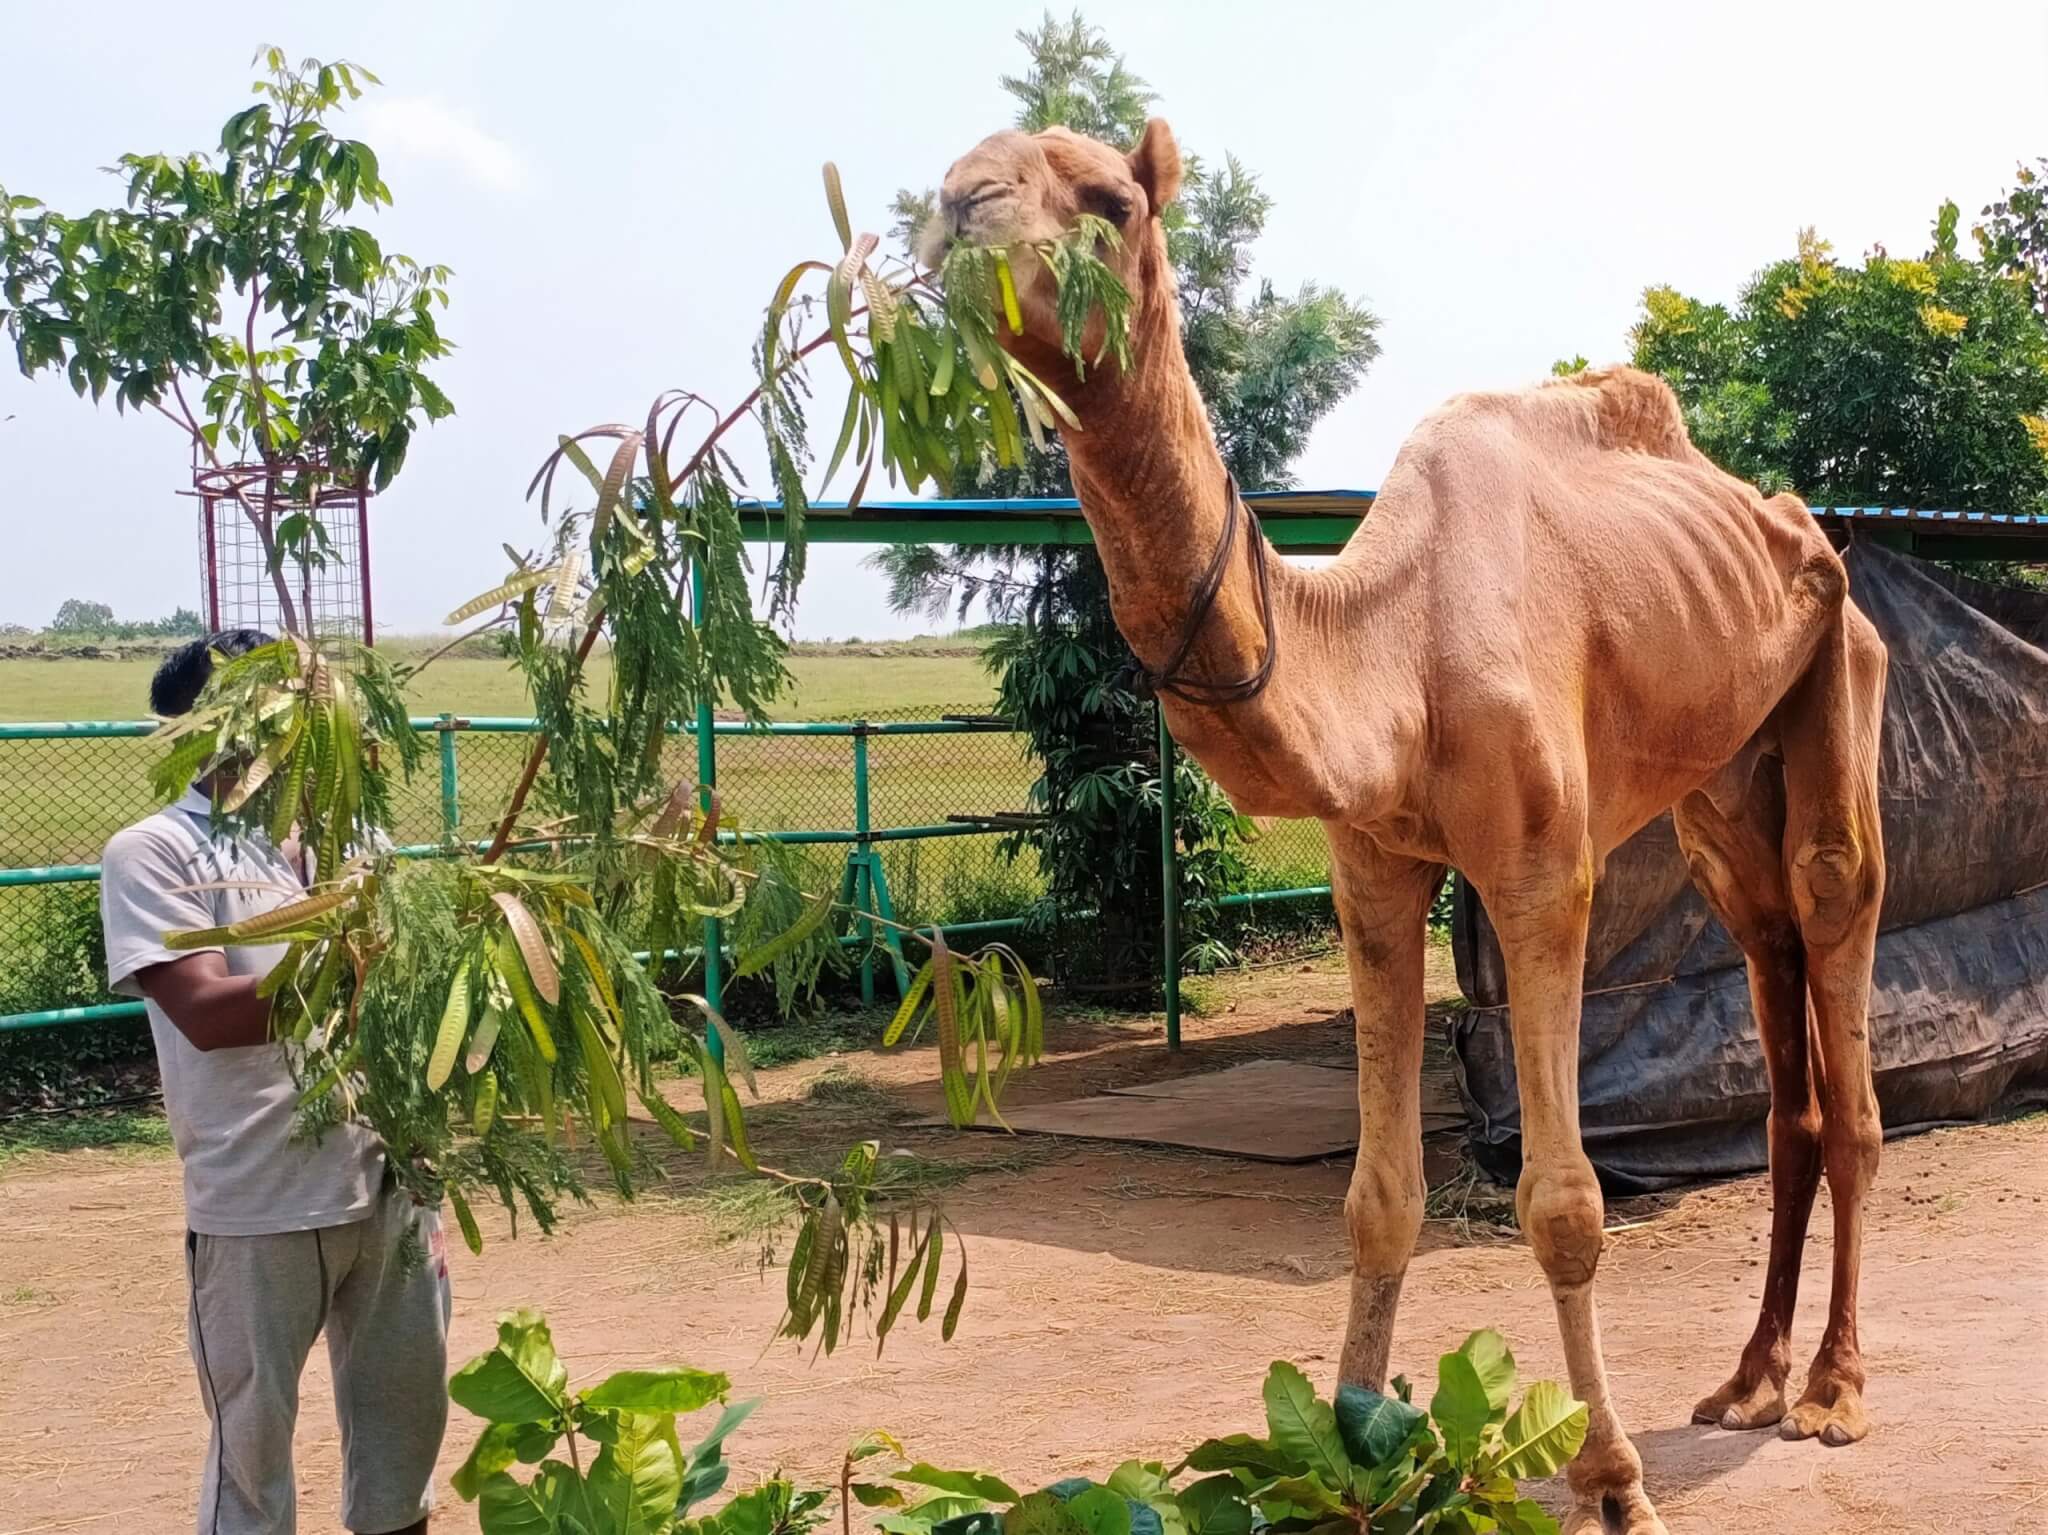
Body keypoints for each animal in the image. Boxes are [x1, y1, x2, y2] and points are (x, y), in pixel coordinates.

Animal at [929, 123, 1884, 1535]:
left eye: (1107, 197)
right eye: (961, 172)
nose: (957, 205)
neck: (1389, 647)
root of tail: (1797, 527)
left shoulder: (1542, 873)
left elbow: (1563, 1203)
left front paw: (1611, 1480)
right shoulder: (1371, 872)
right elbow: (1377, 1200)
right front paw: (1343, 1459)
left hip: (1839, 671)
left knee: (1839, 949)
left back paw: (1830, 1393)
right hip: (1721, 779)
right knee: (1772, 1003)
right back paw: (1743, 1382)